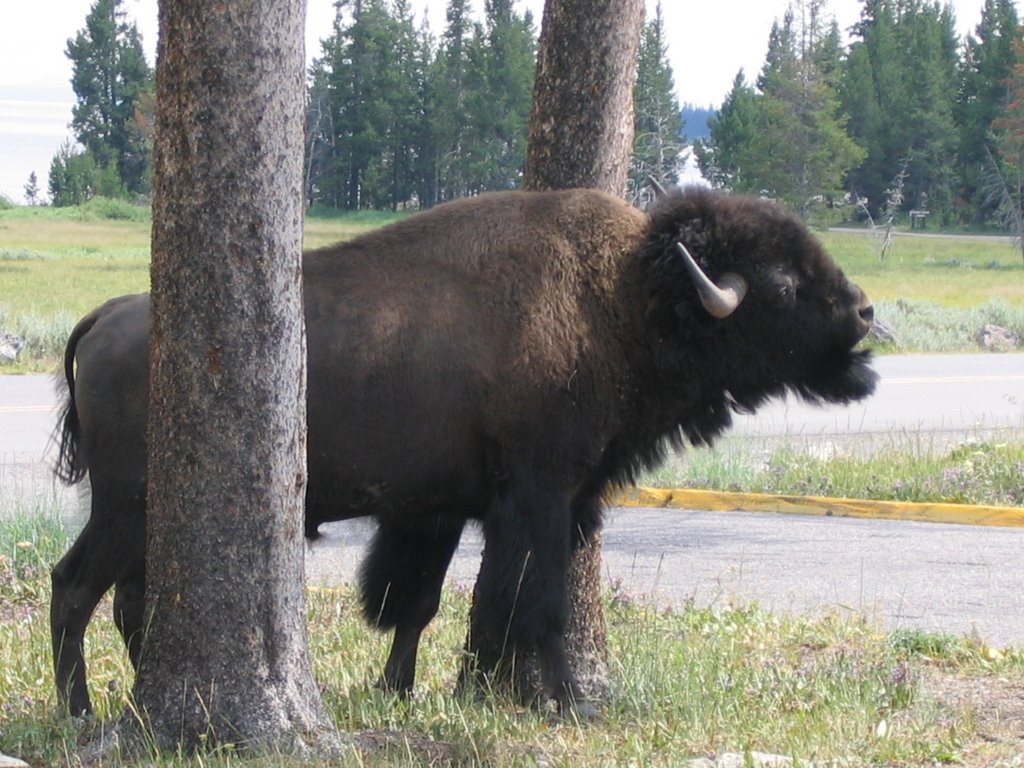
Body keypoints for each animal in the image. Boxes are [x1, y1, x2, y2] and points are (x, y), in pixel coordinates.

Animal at [51, 189, 876, 720]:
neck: (624, 298)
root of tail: (103, 318)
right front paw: (570, 705)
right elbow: (538, 603)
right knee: (76, 586)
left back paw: (129, 702)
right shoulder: (539, 499)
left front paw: (400, 692)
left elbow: (420, 603)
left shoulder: (443, 511)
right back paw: (80, 712)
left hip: (147, 517)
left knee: (128, 602)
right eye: (783, 281)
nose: (866, 311)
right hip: (126, 506)